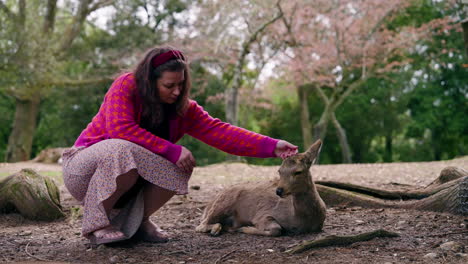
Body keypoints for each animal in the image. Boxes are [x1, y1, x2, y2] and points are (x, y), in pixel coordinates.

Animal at [195, 139, 326, 236]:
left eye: (298, 172)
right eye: (279, 171)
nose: (279, 191)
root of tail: (208, 205)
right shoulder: (262, 214)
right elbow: (276, 229)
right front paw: (246, 228)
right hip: (223, 202)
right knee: (200, 225)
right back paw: (217, 229)